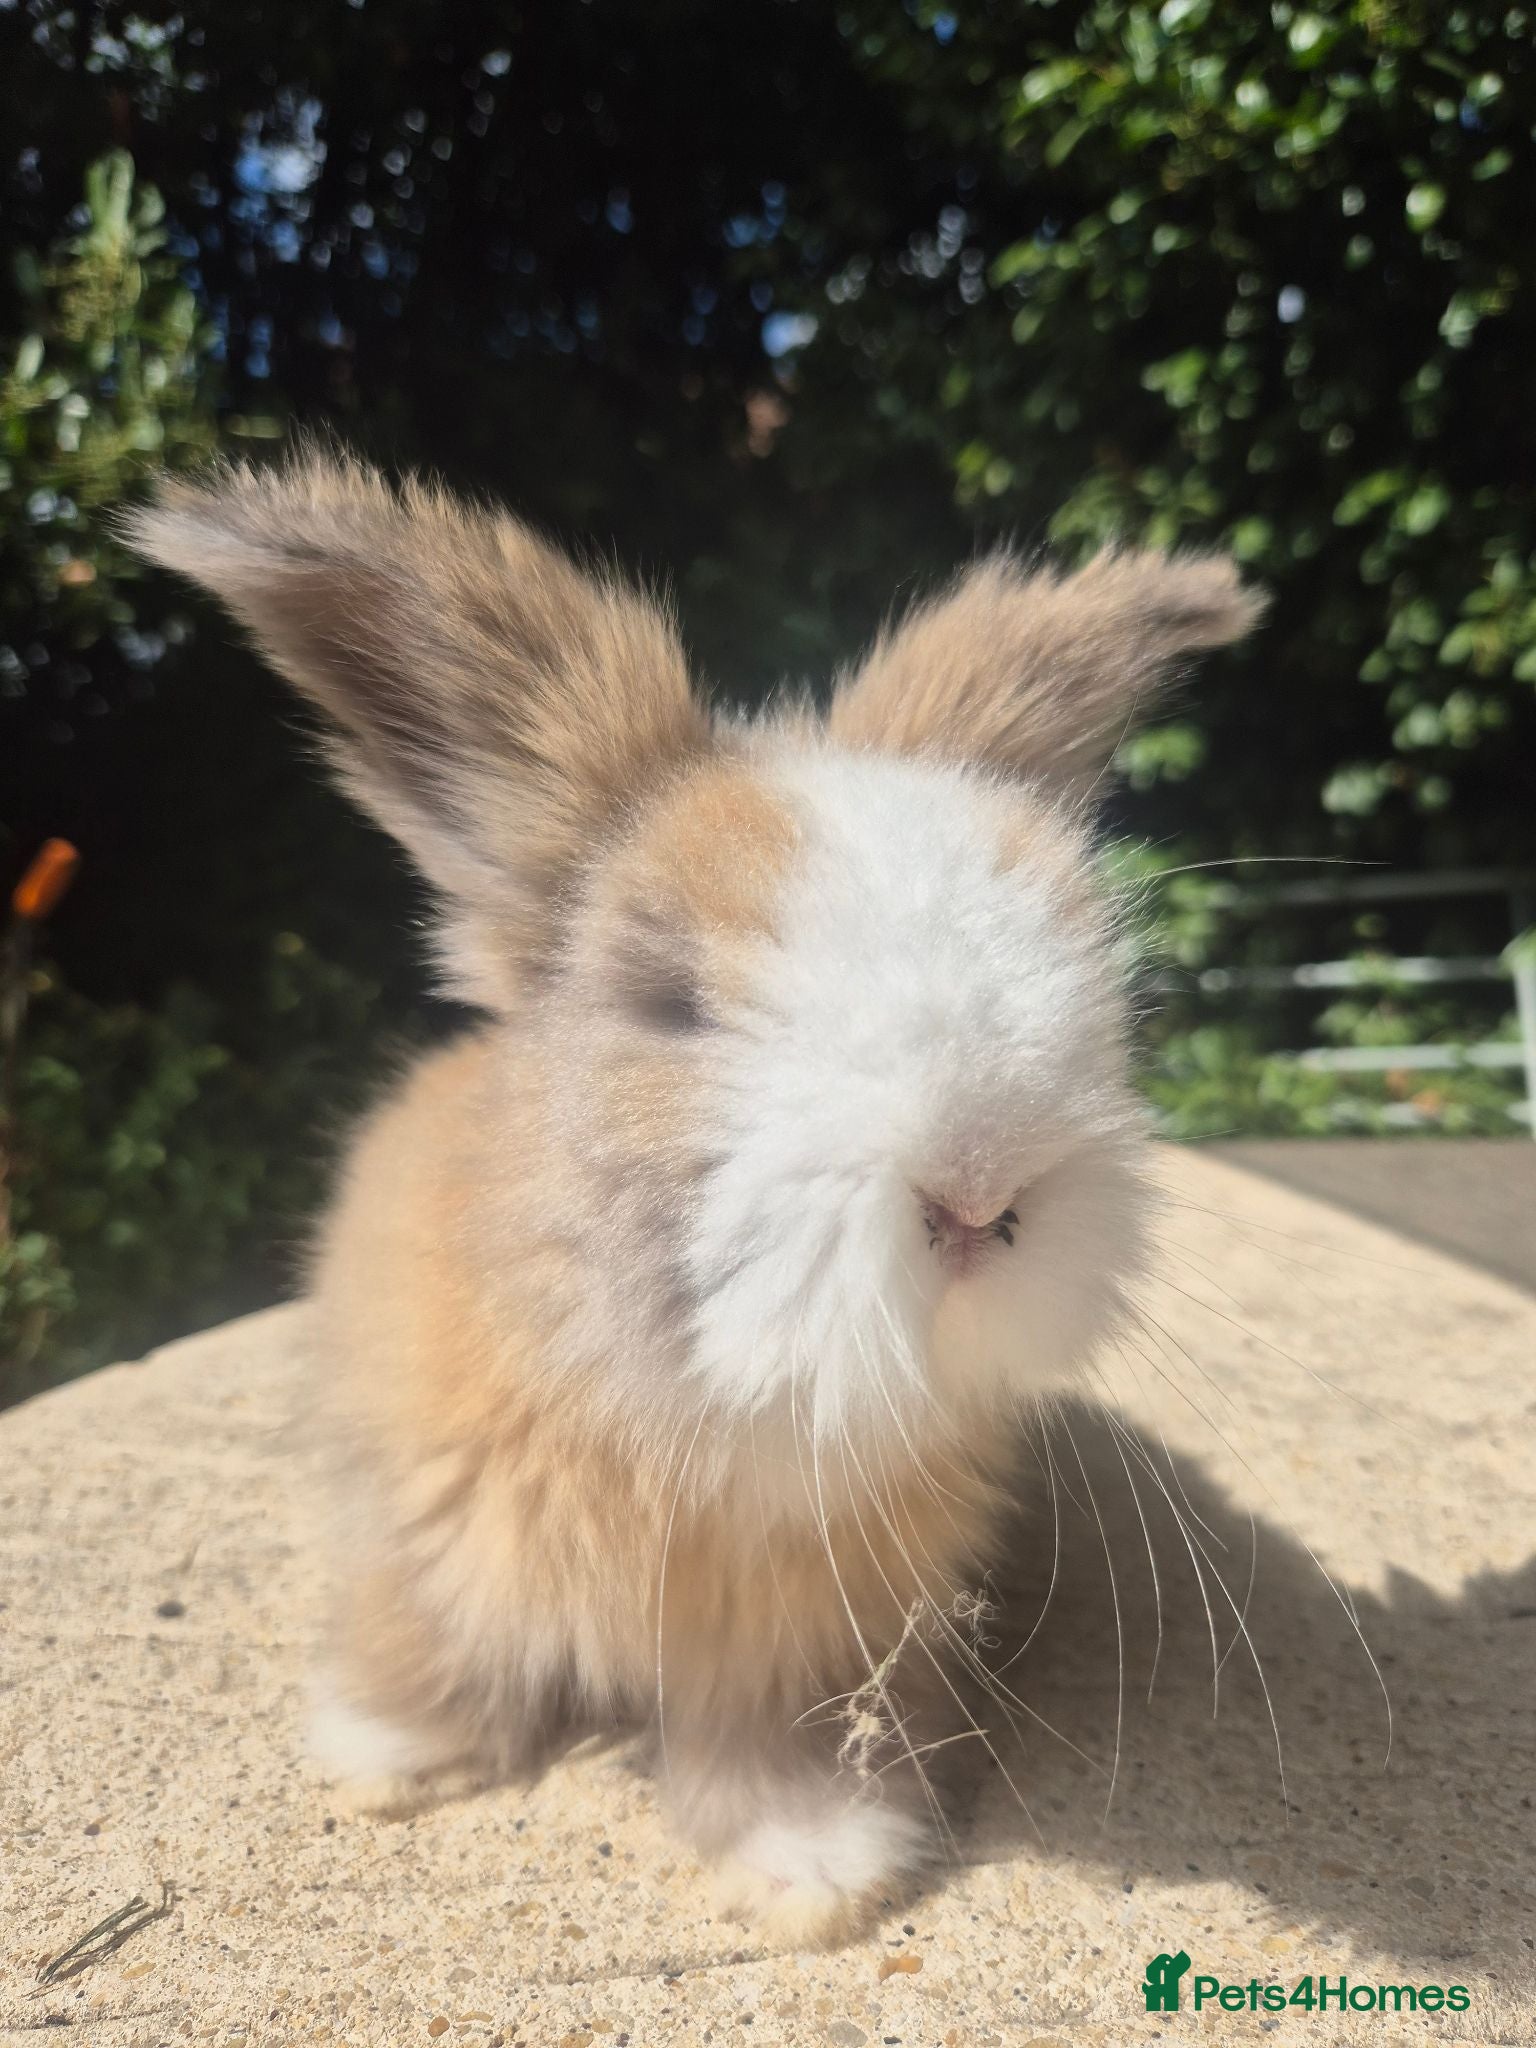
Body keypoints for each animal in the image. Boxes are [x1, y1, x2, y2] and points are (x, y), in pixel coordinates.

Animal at [125, 452, 1263, 1946]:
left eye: (1089, 979)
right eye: (669, 1005)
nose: (979, 1191)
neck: (701, 1405)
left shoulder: (808, 1640)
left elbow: (776, 1744)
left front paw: (819, 1871)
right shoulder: (424, 1527)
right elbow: (429, 1635)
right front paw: (391, 1757)